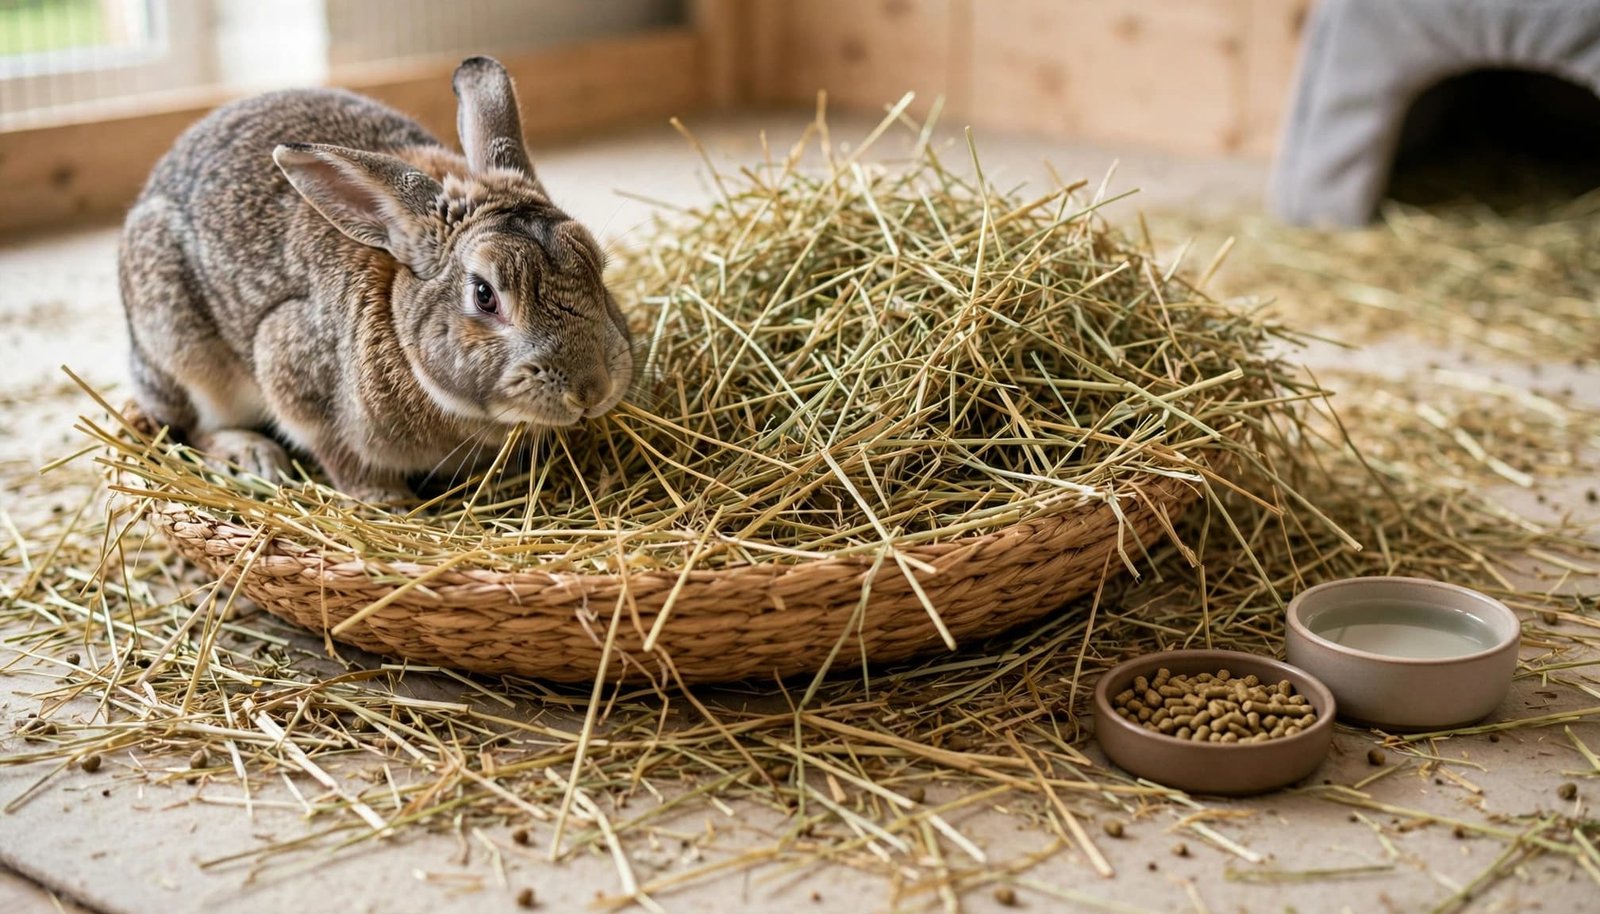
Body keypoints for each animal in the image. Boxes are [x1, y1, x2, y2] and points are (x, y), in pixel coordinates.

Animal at [118, 56, 633, 504]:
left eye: (597, 267)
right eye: (485, 296)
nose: (592, 390)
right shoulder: (291, 371)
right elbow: (338, 452)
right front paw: (387, 502)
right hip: (184, 353)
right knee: (192, 426)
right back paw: (254, 456)